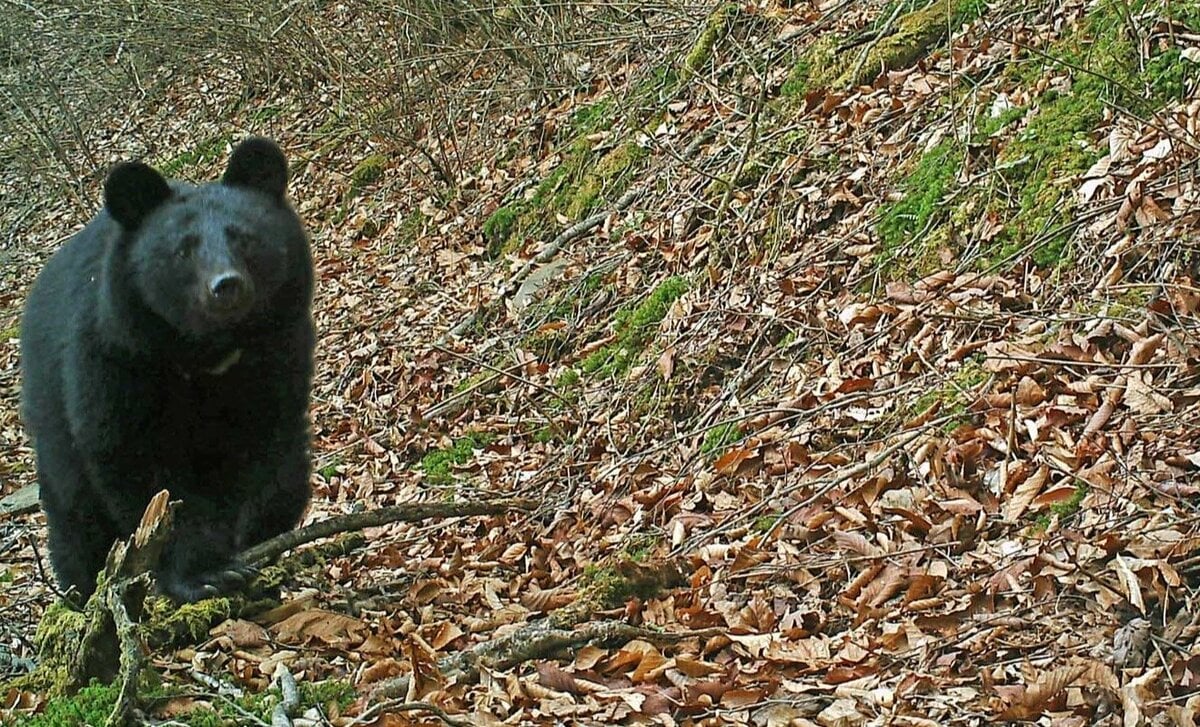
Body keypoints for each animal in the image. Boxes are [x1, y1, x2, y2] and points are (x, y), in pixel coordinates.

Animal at [19, 137, 314, 604]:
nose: (226, 286)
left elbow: (266, 449)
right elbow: (140, 468)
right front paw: (204, 571)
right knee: (75, 514)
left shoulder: (277, 354)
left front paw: (249, 536)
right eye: (183, 250)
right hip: (51, 413)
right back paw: (80, 591)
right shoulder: (117, 360)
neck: (206, 353)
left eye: (245, 238)